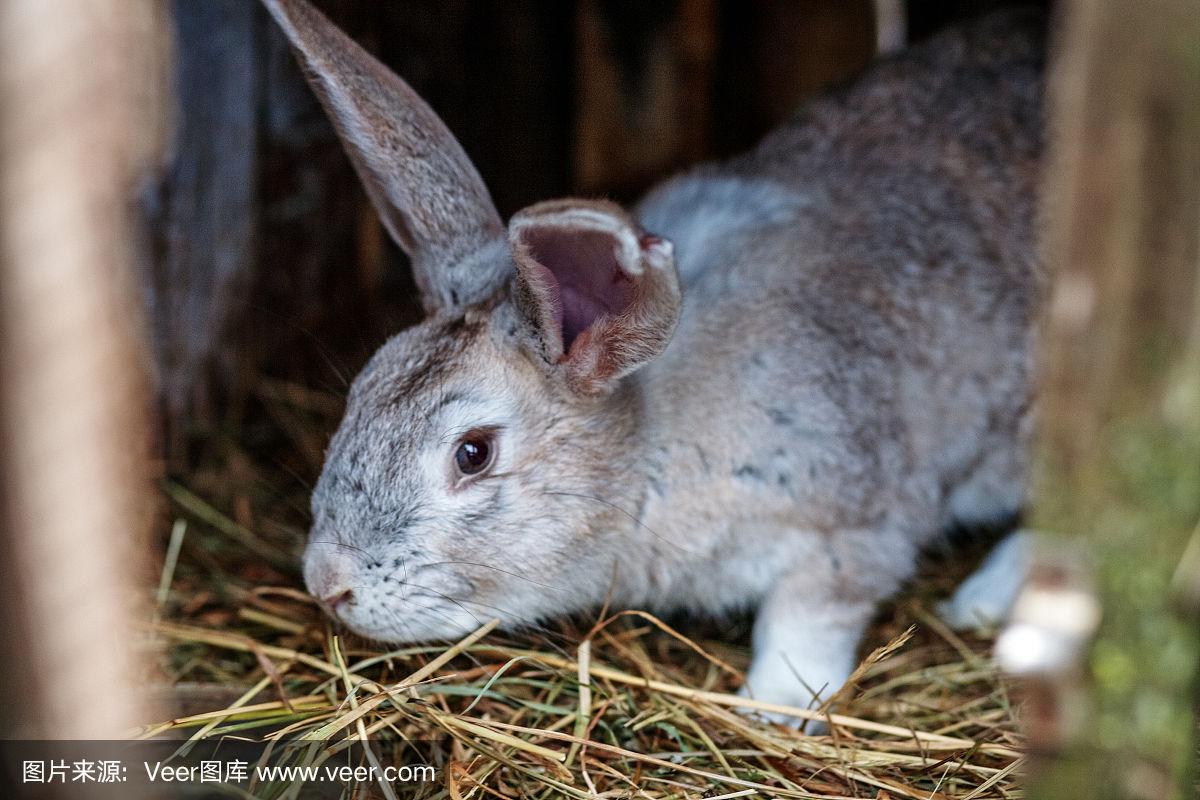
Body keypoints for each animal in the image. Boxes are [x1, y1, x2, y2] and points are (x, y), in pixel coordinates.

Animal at [262, 0, 1041, 724]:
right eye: (361, 393)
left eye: (473, 453)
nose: (326, 583)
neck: (648, 434)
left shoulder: (854, 522)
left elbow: (808, 619)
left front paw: (772, 707)